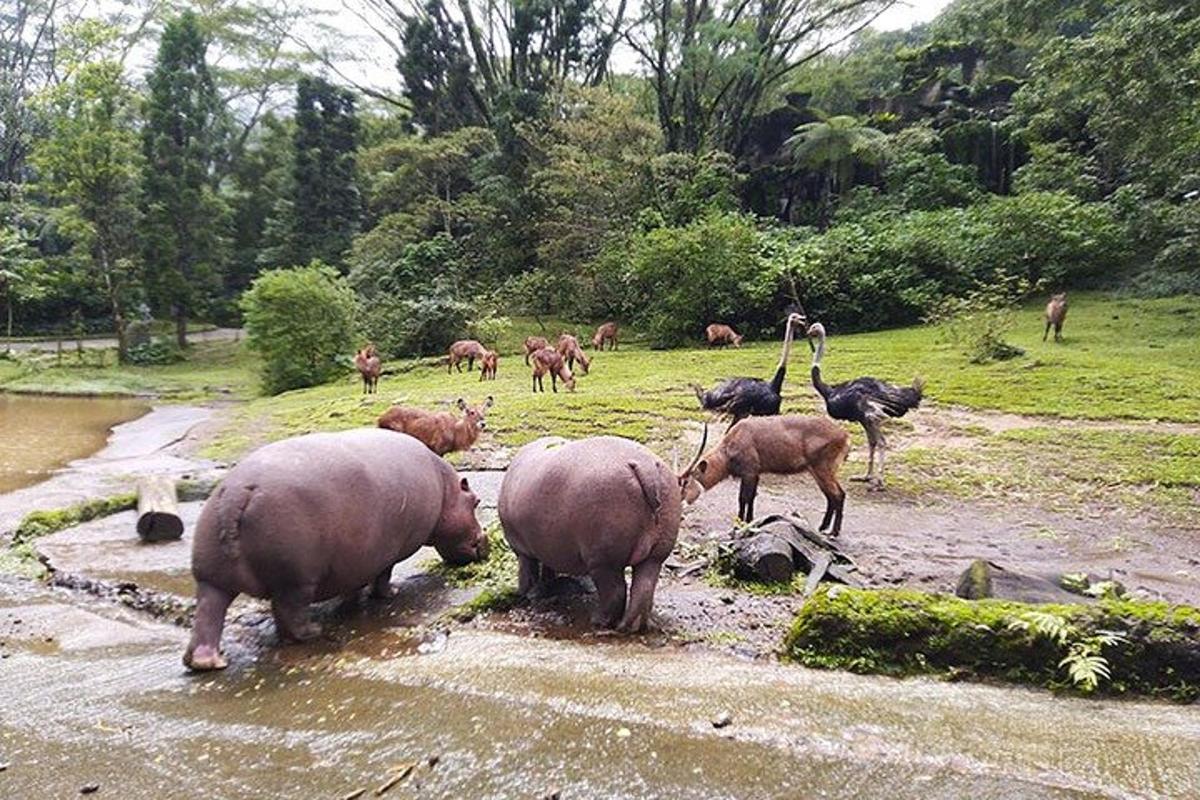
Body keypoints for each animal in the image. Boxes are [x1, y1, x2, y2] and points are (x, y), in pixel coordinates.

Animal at [182, 431, 487, 671]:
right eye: (476, 501)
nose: (485, 540)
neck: (446, 489)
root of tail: (238, 490)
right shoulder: (388, 553)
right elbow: (383, 576)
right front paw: (391, 593)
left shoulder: (356, 558)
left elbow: (353, 582)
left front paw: (352, 600)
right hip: (296, 579)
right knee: (288, 612)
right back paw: (311, 633)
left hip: (212, 577)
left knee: (209, 614)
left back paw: (209, 662)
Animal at [496, 434, 686, 633]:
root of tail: (646, 467)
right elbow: (547, 569)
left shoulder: (521, 549)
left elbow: (527, 574)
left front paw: (524, 594)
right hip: (656, 553)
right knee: (644, 588)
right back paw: (631, 627)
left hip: (603, 559)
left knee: (616, 592)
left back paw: (599, 621)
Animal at [681, 417, 849, 534]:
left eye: (686, 482)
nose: (681, 506)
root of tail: (844, 434)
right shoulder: (755, 474)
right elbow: (752, 497)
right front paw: (750, 521)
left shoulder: (749, 473)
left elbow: (743, 498)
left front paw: (738, 525)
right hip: (817, 472)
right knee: (831, 496)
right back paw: (822, 527)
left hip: (822, 469)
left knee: (839, 494)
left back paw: (834, 532)